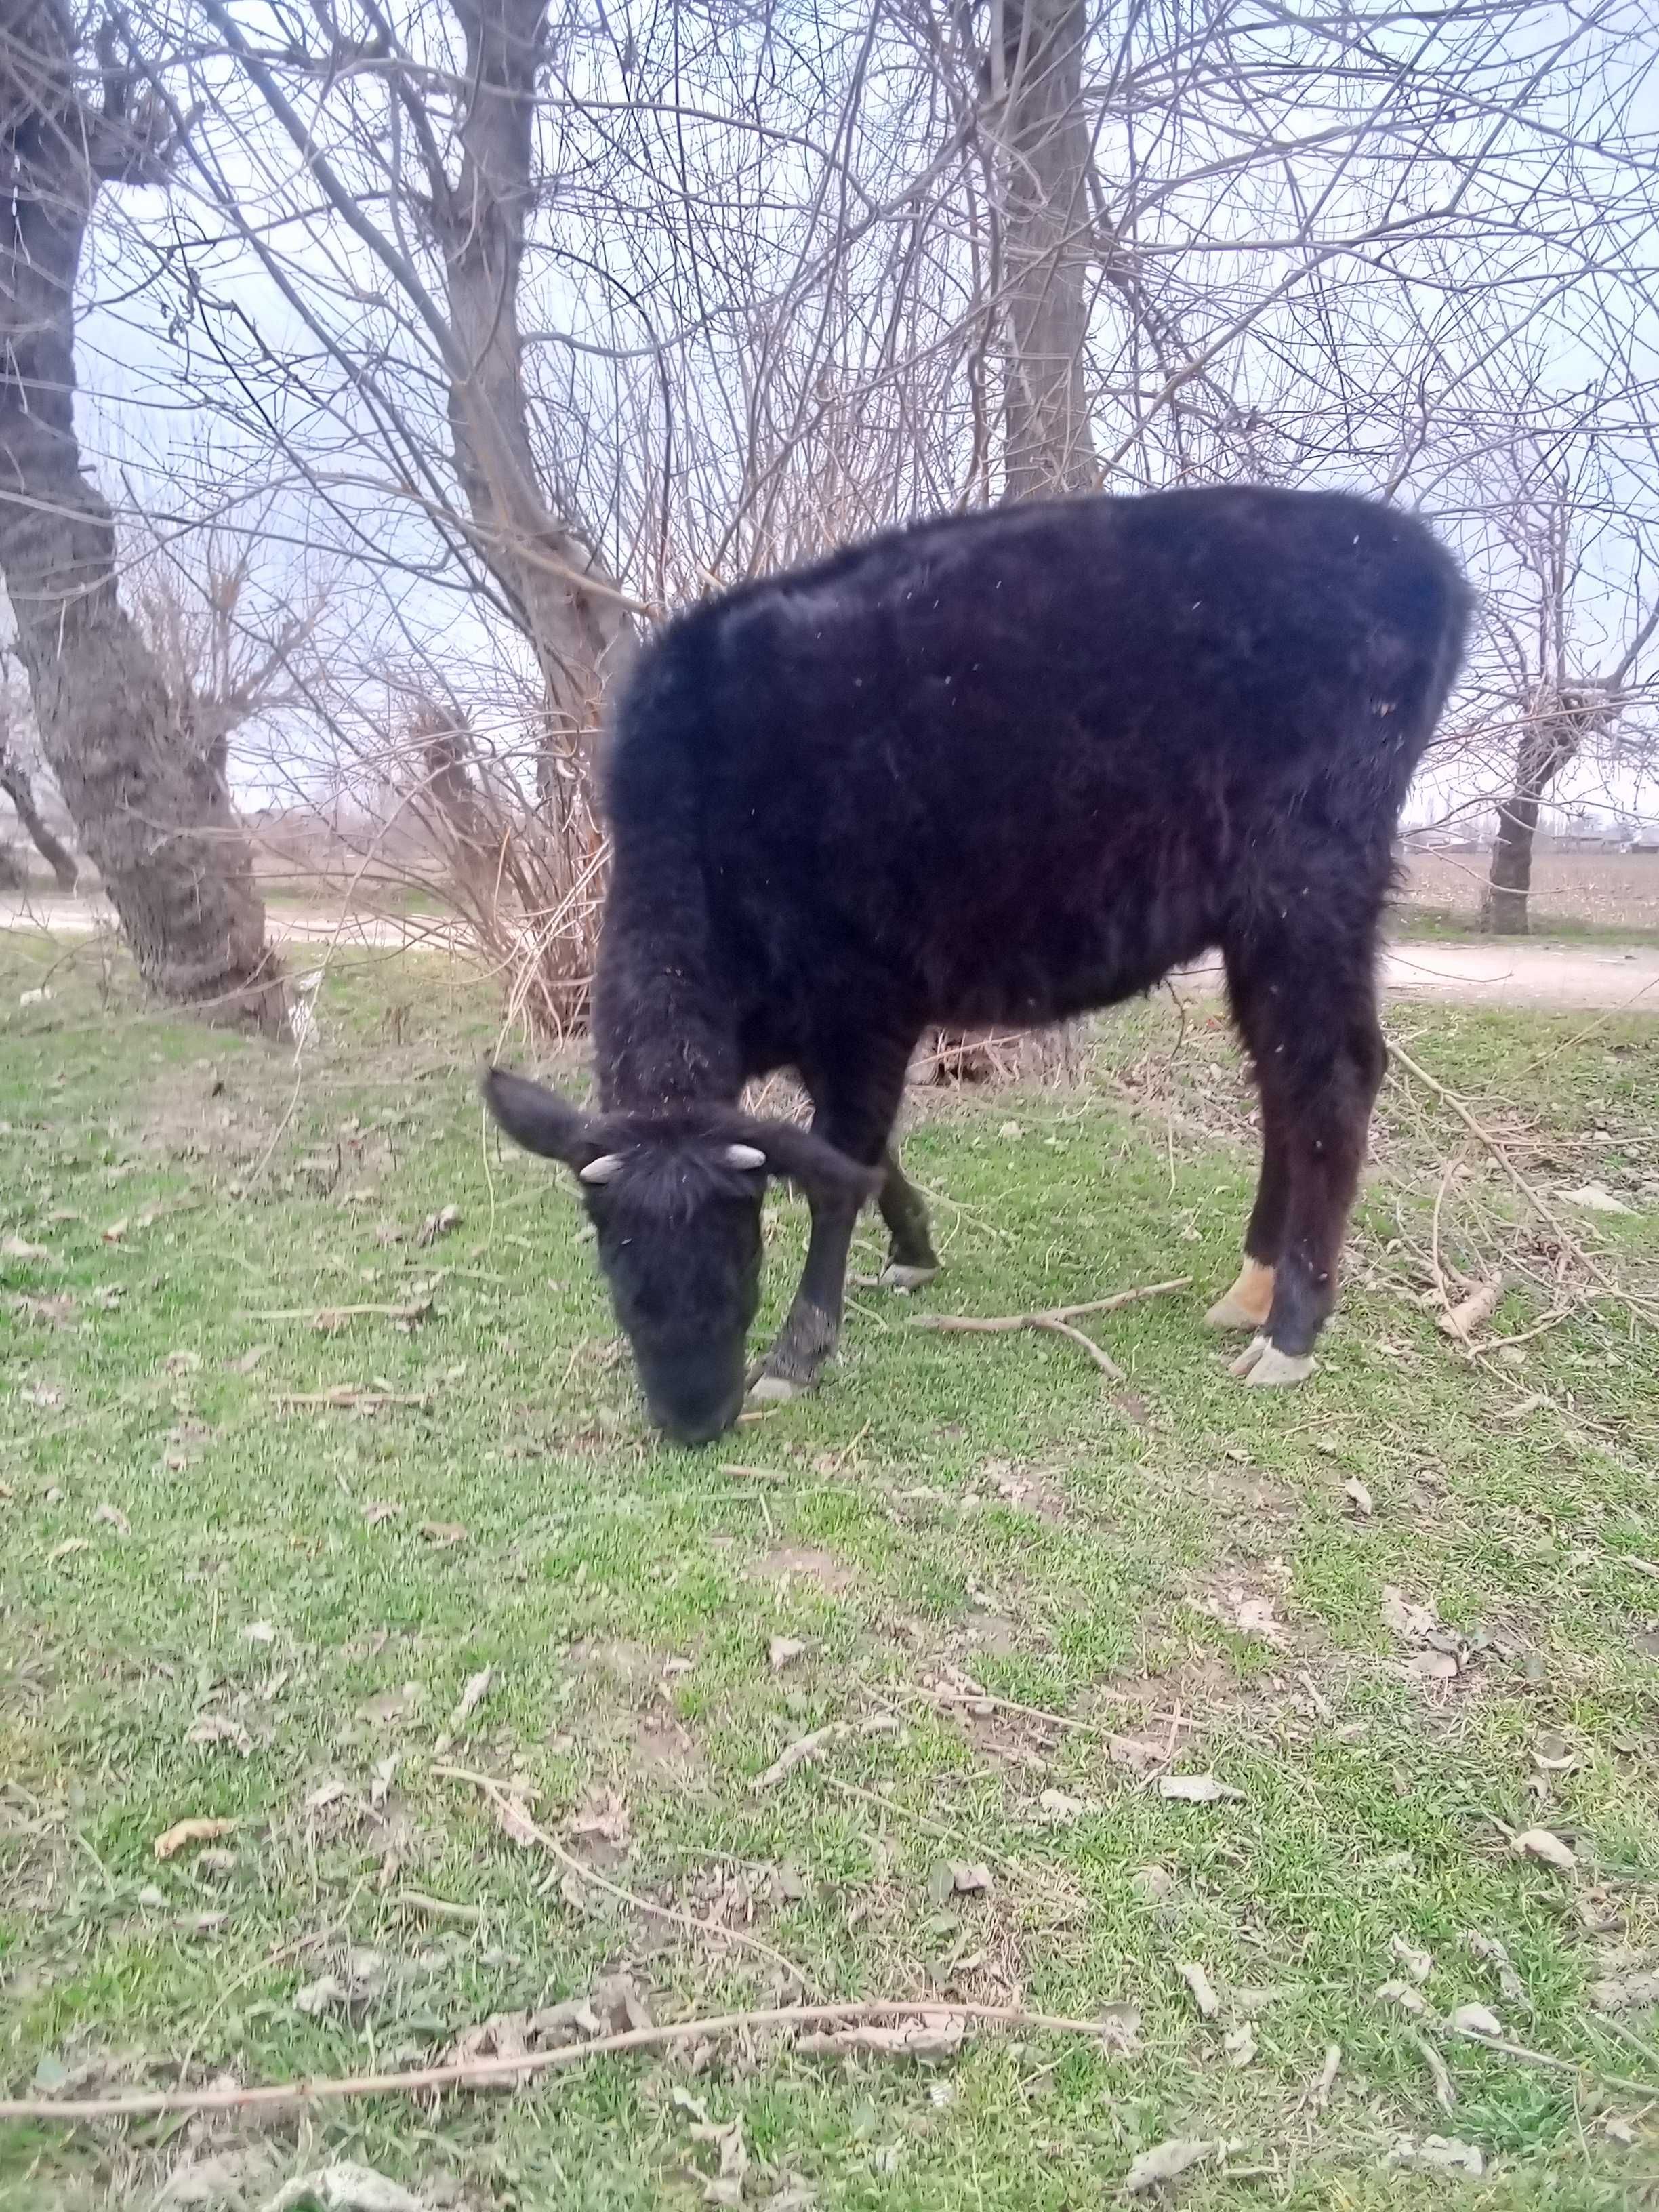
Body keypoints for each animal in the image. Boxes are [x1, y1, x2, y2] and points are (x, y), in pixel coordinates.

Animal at [487, 487, 1477, 1442]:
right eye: (614, 1265)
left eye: (739, 1251)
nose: (694, 1420)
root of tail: (1417, 555)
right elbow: (860, 1159)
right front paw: (914, 1253)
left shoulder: (865, 1009)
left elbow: (841, 1167)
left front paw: (799, 1353)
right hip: (1257, 924)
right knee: (1282, 1079)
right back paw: (1253, 1286)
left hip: (1310, 884)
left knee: (1334, 1080)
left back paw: (1293, 1328)